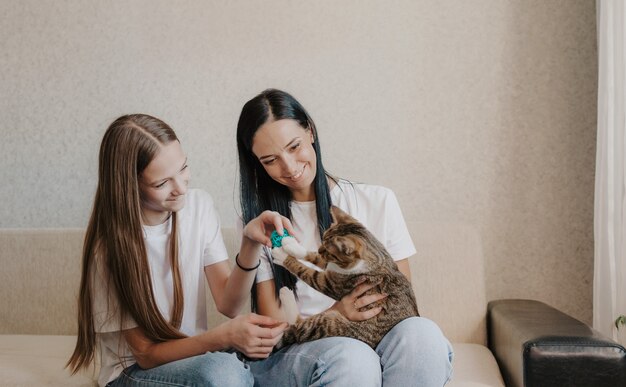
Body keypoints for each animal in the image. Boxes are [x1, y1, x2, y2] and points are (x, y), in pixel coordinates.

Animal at [270, 206, 420, 352]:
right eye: (323, 239)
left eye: (329, 251)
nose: (319, 249)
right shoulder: (331, 265)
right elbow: (314, 257)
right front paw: (292, 246)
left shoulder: (333, 284)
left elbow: (308, 273)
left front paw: (283, 256)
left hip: (334, 326)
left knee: (300, 327)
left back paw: (285, 293)